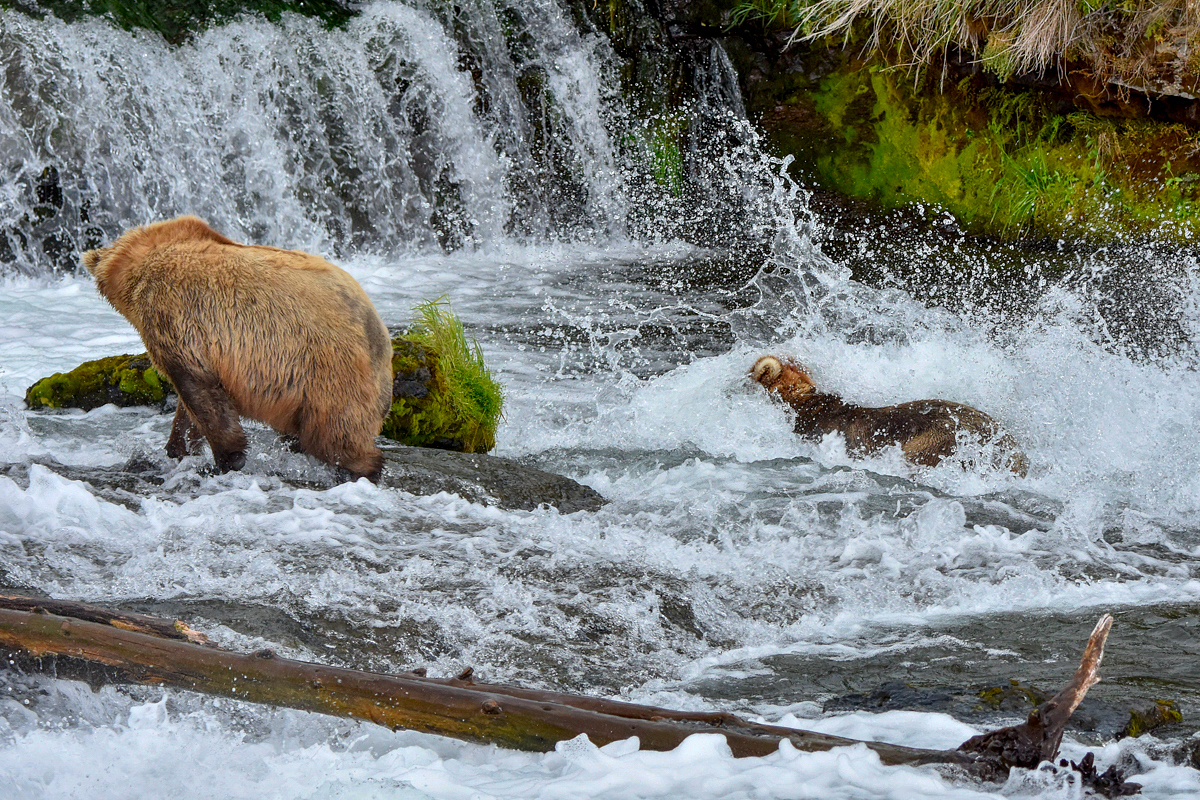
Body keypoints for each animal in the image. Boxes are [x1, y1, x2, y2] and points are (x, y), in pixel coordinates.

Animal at [84, 214, 393, 482]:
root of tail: (379, 332)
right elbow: (189, 409)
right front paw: (178, 450)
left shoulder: (177, 320)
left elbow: (201, 394)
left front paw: (226, 459)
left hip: (328, 374)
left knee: (334, 437)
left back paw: (361, 470)